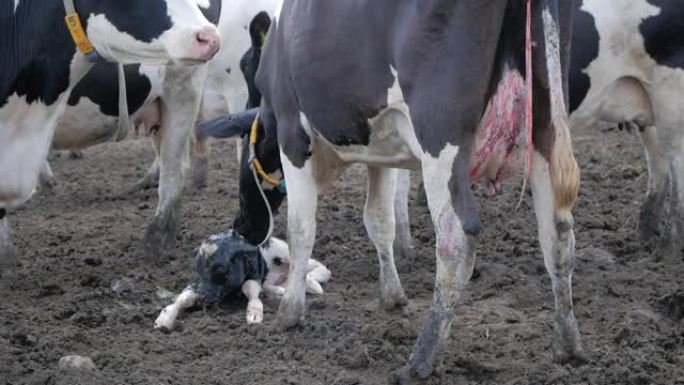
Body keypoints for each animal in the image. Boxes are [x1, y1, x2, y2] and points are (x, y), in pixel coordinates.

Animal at [155, 228, 332, 330]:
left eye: (222, 269)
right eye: (197, 268)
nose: (203, 297)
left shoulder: (255, 275)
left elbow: (249, 287)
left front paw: (254, 316)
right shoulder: (197, 283)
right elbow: (183, 297)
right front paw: (162, 321)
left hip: (285, 253)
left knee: (319, 269)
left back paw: (312, 283)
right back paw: (280, 291)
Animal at [200, 0, 584, 380]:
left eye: (245, 162)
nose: (242, 226)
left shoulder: (293, 136)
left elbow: (301, 230)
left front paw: (290, 314)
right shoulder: (379, 151)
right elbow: (379, 221)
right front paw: (392, 296)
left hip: (440, 134)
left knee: (457, 237)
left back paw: (422, 359)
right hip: (546, 125)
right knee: (557, 234)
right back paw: (567, 345)